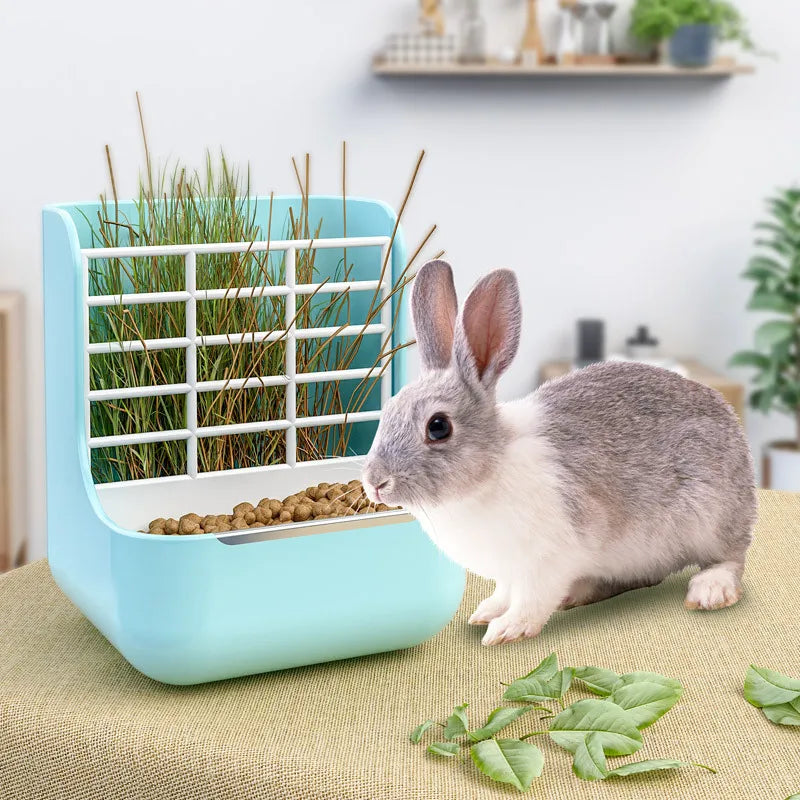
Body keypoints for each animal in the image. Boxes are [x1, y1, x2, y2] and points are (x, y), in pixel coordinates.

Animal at [362, 260, 756, 646]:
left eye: (438, 426)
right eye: (389, 409)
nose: (375, 483)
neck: (491, 469)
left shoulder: (546, 561)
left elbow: (531, 600)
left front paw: (507, 629)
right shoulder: (510, 571)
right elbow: (505, 592)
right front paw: (486, 612)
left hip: (711, 519)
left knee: (730, 559)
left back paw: (709, 591)